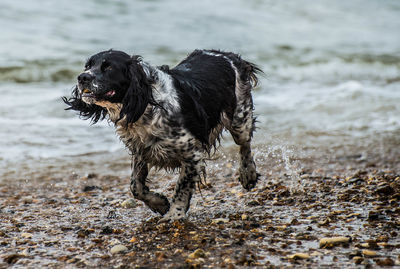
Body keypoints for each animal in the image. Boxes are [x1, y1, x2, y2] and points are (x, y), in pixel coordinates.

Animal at [62, 48, 260, 220]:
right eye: (88, 65)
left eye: (109, 67)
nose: (83, 77)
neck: (147, 106)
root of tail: (227, 55)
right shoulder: (141, 150)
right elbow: (136, 186)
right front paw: (160, 204)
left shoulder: (192, 155)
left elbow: (182, 187)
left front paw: (174, 214)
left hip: (239, 120)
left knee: (245, 144)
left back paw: (248, 174)